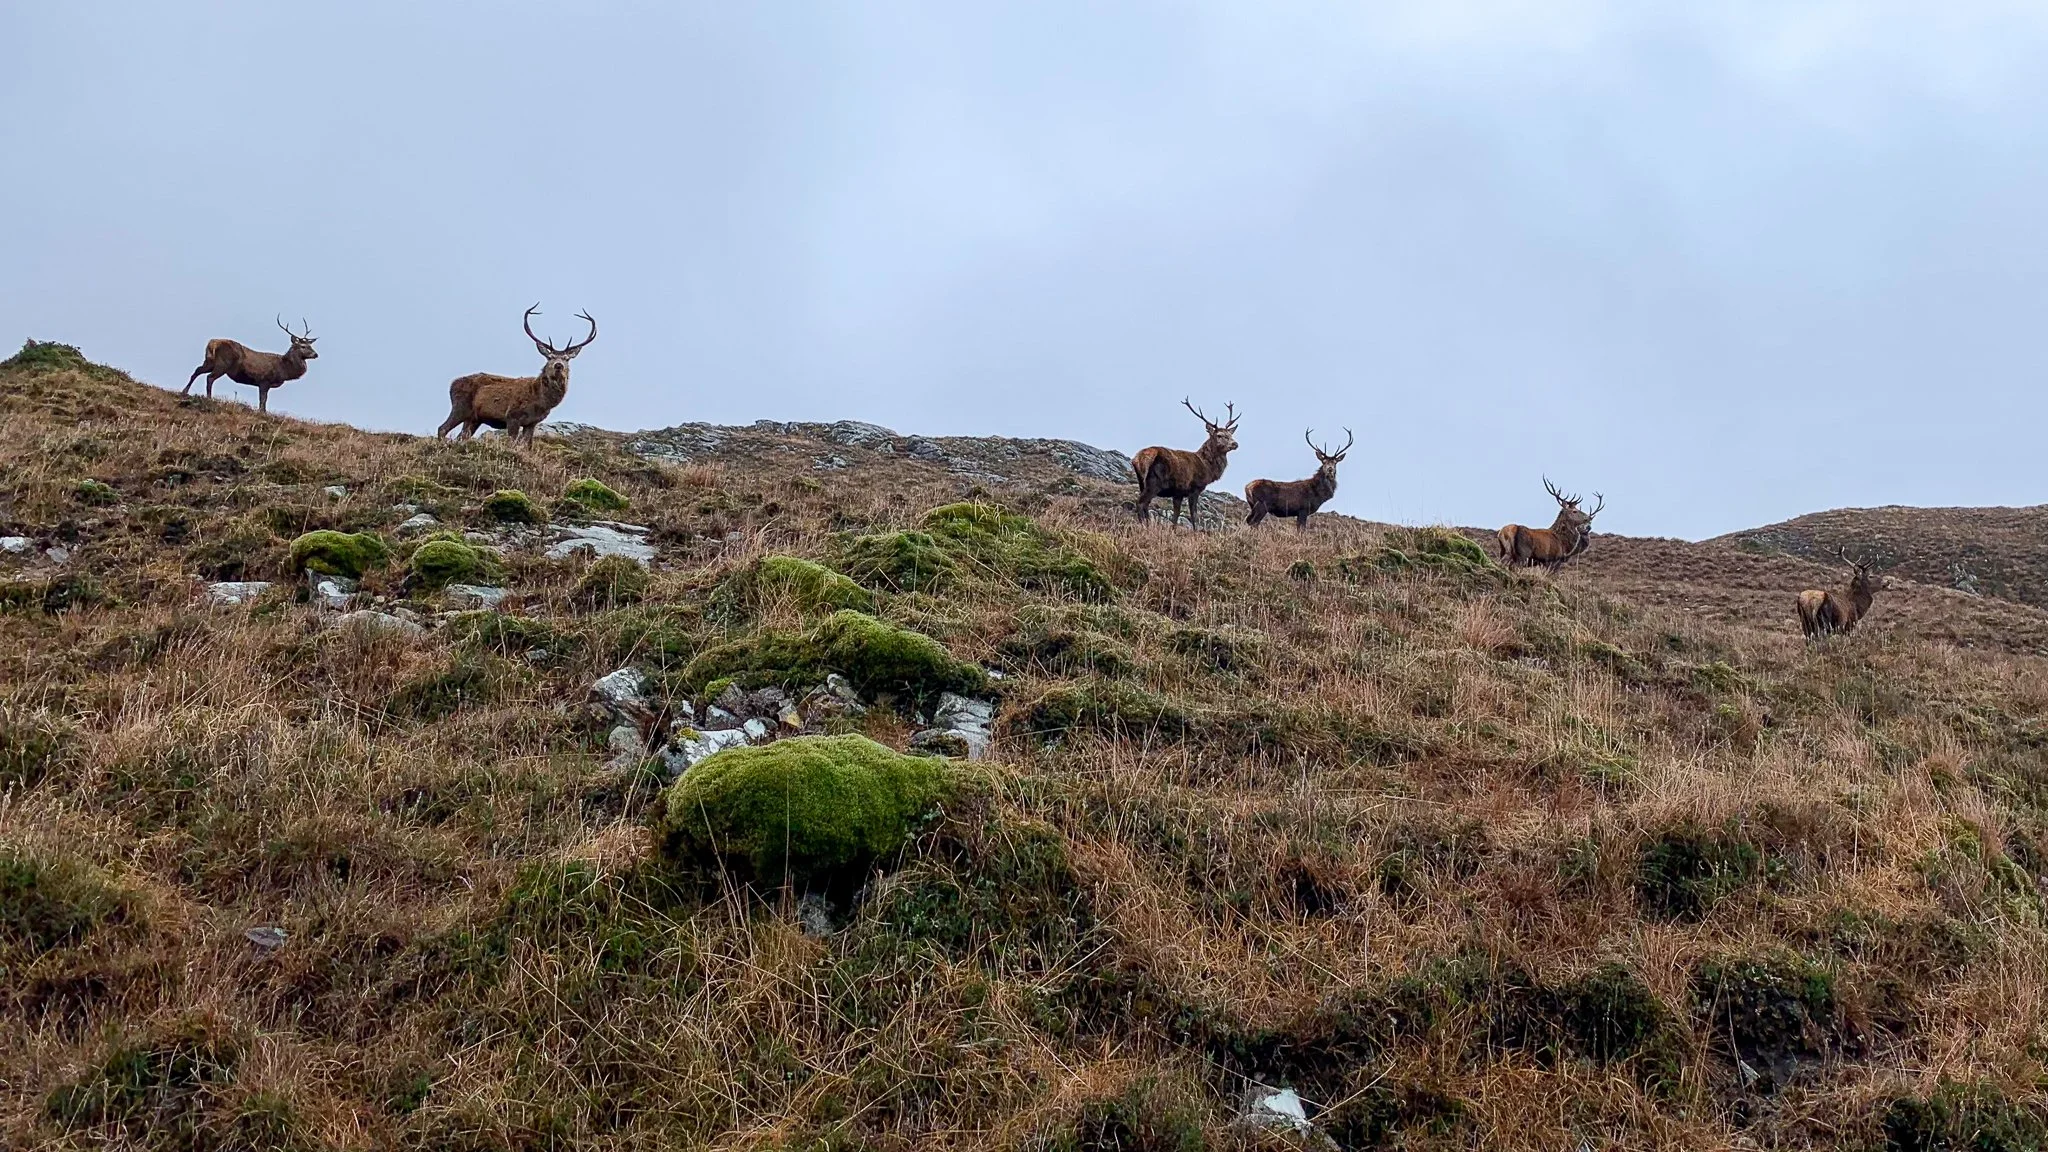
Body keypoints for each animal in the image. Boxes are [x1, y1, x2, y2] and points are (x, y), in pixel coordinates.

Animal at [181, 316, 318, 414]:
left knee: (197, 371)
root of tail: (213, 343)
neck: (284, 369)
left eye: (310, 345)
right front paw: (263, 413)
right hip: (223, 364)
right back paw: (209, 398)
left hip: (209, 361)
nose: (316, 354)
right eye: (303, 346)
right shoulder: (264, 380)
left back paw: (185, 391)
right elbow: (263, 399)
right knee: (210, 377)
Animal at [437, 304, 596, 446]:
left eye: (566, 359)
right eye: (549, 357)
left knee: (461, 437)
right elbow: (512, 444)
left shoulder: (532, 422)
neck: (540, 400)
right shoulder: (512, 416)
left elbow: (527, 447)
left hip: (474, 418)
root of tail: (452, 384)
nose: (558, 365)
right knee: (442, 428)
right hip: (461, 406)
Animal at [1132, 398, 1240, 527]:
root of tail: (1138, 458)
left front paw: (1173, 529)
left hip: (1142, 482)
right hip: (1154, 482)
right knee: (1141, 503)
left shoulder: (1178, 493)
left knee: (1146, 504)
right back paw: (1144, 526)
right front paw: (1196, 530)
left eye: (1230, 434)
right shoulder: (1194, 488)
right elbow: (1194, 514)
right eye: (1219, 435)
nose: (1235, 444)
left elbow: (1176, 514)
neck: (1207, 468)